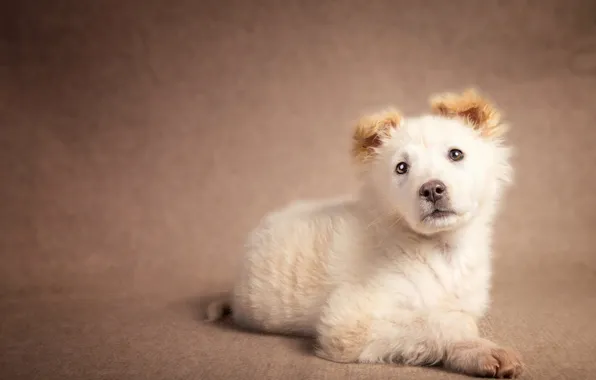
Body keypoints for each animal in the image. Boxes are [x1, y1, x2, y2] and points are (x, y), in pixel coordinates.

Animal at [207, 90, 524, 378]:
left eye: (455, 154)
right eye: (401, 168)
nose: (432, 190)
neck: (440, 248)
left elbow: (453, 318)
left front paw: (476, 352)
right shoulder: (347, 319)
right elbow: (442, 323)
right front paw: (479, 346)